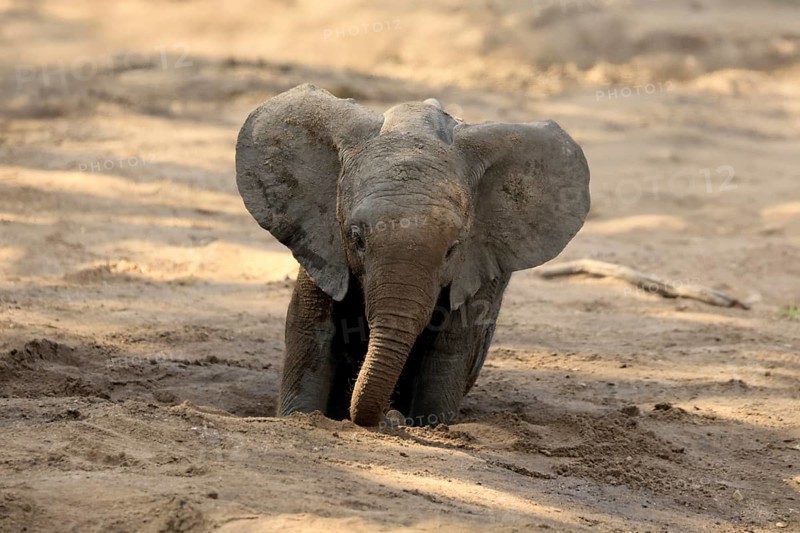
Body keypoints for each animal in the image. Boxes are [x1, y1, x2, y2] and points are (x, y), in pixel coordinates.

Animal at [235, 83, 590, 427]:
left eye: (452, 249)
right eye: (356, 238)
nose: (390, 418)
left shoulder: (483, 261)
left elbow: (452, 345)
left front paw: (431, 425)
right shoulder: (322, 242)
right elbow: (311, 331)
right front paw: (299, 417)